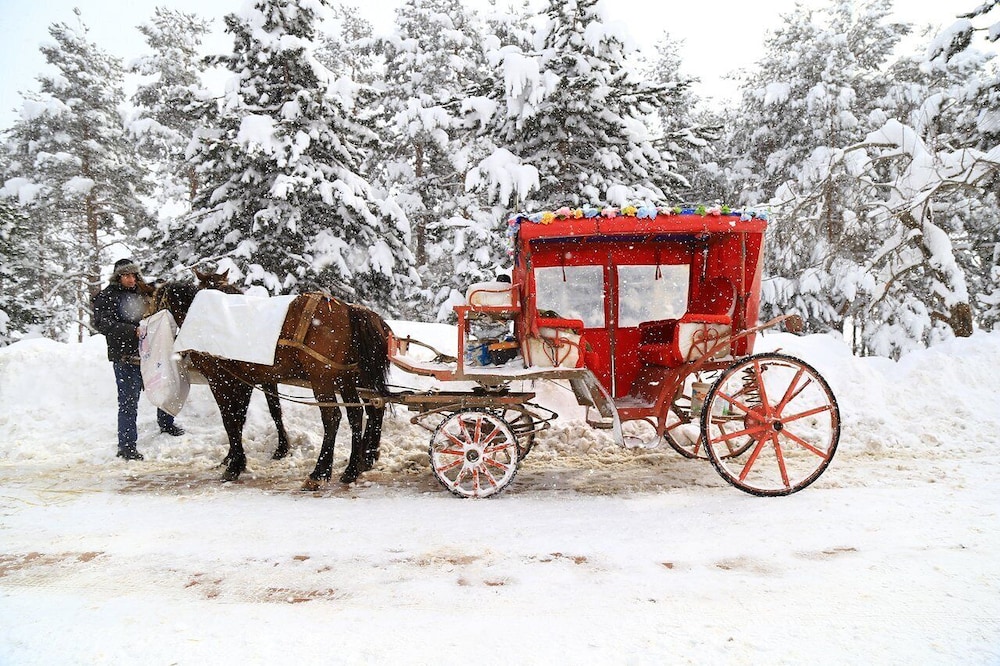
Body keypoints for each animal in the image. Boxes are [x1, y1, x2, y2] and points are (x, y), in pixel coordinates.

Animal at [149, 280, 391, 489]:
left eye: (153, 301)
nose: (143, 328)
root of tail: (349, 311)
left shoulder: (221, 379)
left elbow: (230, 419)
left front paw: (234, 465)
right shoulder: (244, 380)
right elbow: (241, 418)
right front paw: (235, 459)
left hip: (323, 378)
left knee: (334, 418)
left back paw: (319, 472)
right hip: (345, 378)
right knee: (358, 414)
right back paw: (352, 469)